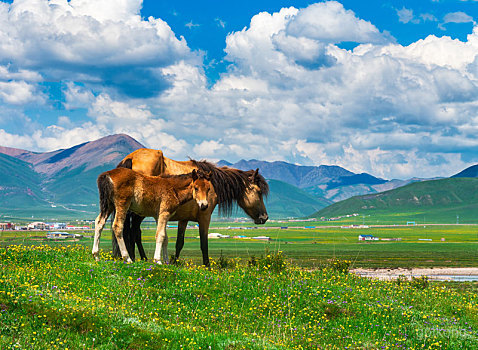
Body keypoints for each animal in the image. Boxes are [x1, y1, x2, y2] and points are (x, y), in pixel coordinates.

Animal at [112, 149, 268, 266]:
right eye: (259, 192)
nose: (265, 217)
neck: (212, 185)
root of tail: (131, 158)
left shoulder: (184, 219)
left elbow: (179, 243)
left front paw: (174, 262)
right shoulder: (205, 217)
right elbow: (204, 243)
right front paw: (207, 266)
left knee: (133, 231)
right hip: (137, 211)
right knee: (132, 231)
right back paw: (136, 258)